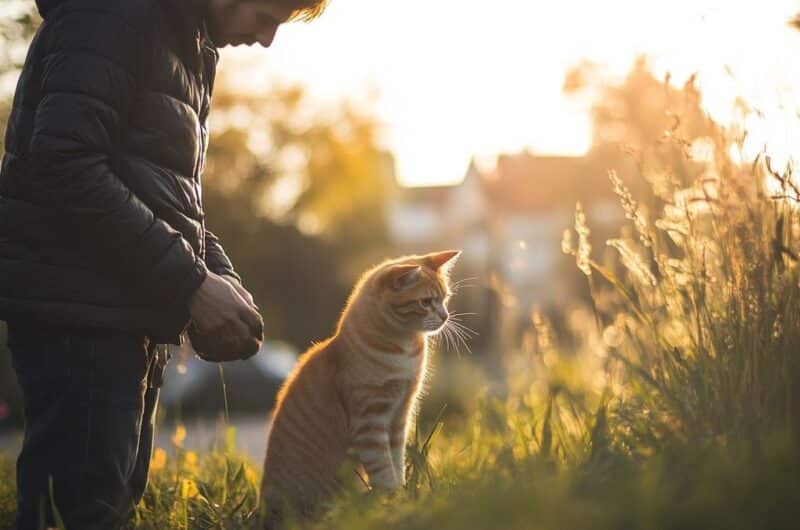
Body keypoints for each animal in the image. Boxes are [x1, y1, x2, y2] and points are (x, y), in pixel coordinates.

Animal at [260, 250, 460, 524]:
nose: (445, 316)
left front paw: (401, 498)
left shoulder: (400, 416)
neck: (405, 350)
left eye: (445, 299)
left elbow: (396, 462)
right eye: (426, 302)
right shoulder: (370, 420)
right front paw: (393, 503)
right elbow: (383, 469)